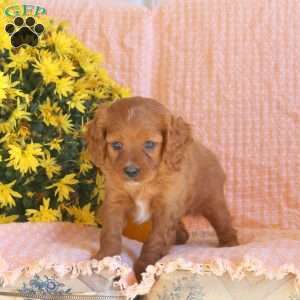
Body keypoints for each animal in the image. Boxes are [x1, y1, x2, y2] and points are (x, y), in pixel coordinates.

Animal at [85, 96, 238, 282]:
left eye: (150, 144)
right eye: (116, 145)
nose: (130, 171)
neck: (143, 184)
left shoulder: (166, 207)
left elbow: (156, 239)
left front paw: (145, 269)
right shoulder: (115, 201)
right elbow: (110, 232)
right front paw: (105, 259)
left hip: (213, 201)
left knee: (224, 222)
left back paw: (229, 243)